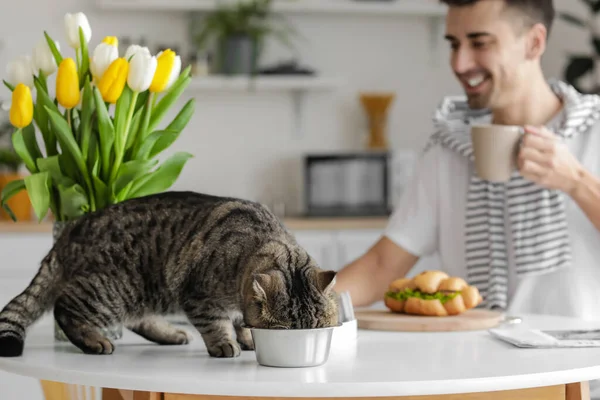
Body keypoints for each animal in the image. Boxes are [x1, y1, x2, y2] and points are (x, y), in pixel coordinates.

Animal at [0, 192, 340, 358]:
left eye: (318, 328)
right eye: (286, 333)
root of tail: (68, 232)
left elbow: (241, 321)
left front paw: (245, 337)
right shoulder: (199, 296)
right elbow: (216, 324)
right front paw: (225, 343)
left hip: (140, 293)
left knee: (136, 319)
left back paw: (171, 334)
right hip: (112, 289)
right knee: (64, 308)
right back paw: (94, 341)